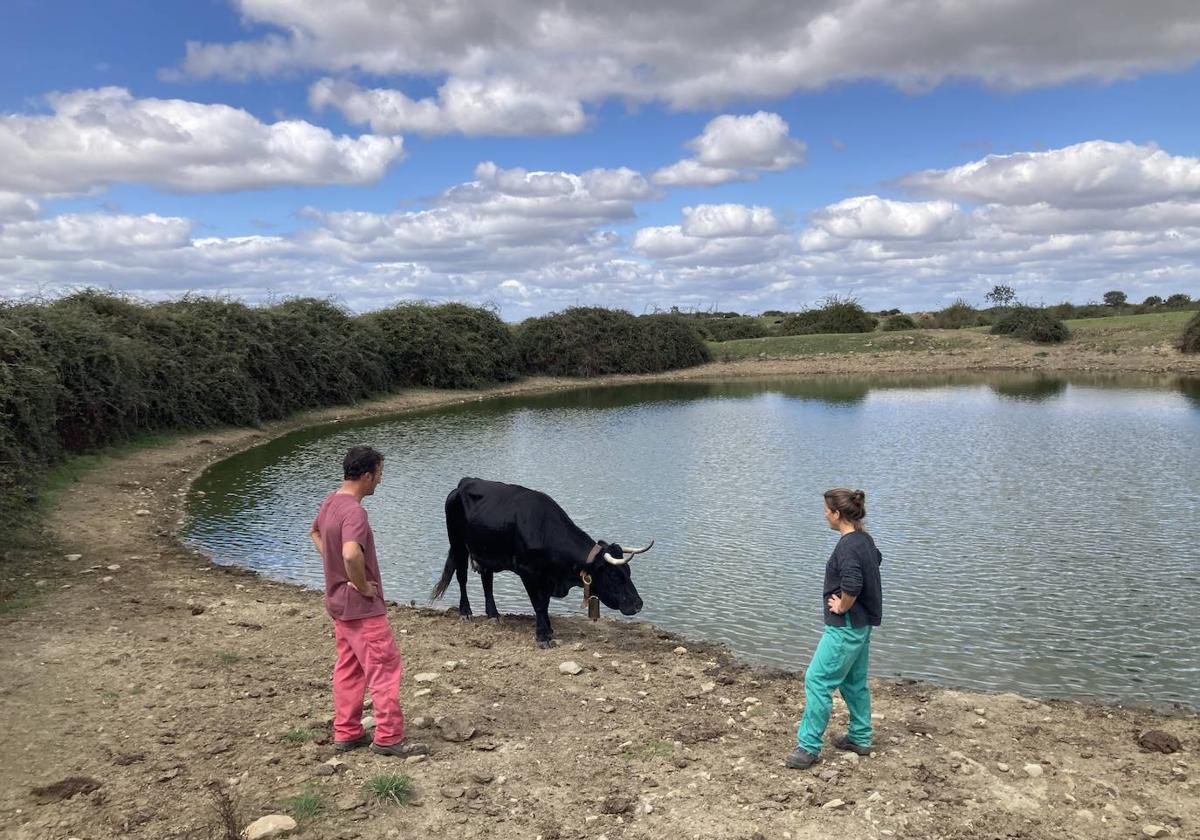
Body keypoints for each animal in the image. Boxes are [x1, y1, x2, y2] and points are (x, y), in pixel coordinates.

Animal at [434, 475, 652, 648]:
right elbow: (539, 604)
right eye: (614, 575)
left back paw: (494, 615)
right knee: (462, 577)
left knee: (487, 581)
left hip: (485, 551)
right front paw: (543, 637)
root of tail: (465, 482)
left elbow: (545, 604)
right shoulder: (529, 572)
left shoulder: (547, 578)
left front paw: (549, 630)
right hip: (458, 544)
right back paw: (466, 612)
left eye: (629, 571)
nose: (638, 604)